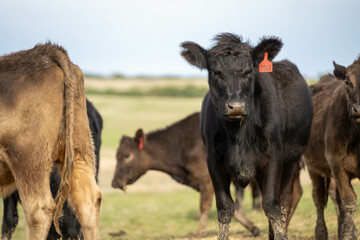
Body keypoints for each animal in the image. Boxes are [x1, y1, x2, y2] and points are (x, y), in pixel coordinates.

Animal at [181, 33, 314, 240]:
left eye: (248, 72)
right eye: (216, 73)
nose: (235, 106)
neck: (238, 134)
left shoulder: (274, 157)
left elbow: (272, 205)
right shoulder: (213, 161)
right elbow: (225, 207)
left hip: (293, 159)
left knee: (285, 200)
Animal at [302, 55, 360, 240]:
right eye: (348, 82)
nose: (358, 109)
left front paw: (347, 231)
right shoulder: (337, 164)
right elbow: (349, 201)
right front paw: (349, 234)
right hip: (313, 168)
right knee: (319, 198)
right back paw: (321, 232)